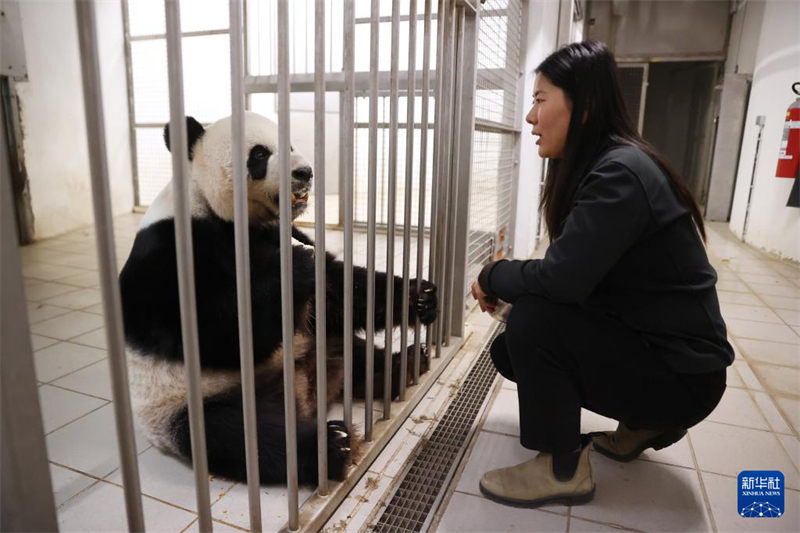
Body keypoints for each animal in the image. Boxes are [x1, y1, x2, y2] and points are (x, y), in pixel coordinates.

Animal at [119, 111, 438, 482]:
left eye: (290, 146)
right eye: (259, 154)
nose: (305, 172)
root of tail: (305, 394)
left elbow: (339, 294)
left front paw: (421, 297)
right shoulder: (171, 255)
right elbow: (213, 333)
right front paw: (295, 266)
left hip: (318, 344)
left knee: (354, 352)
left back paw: (406, 364)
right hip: (185, 406)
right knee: (245, 435)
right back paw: (332, 445)